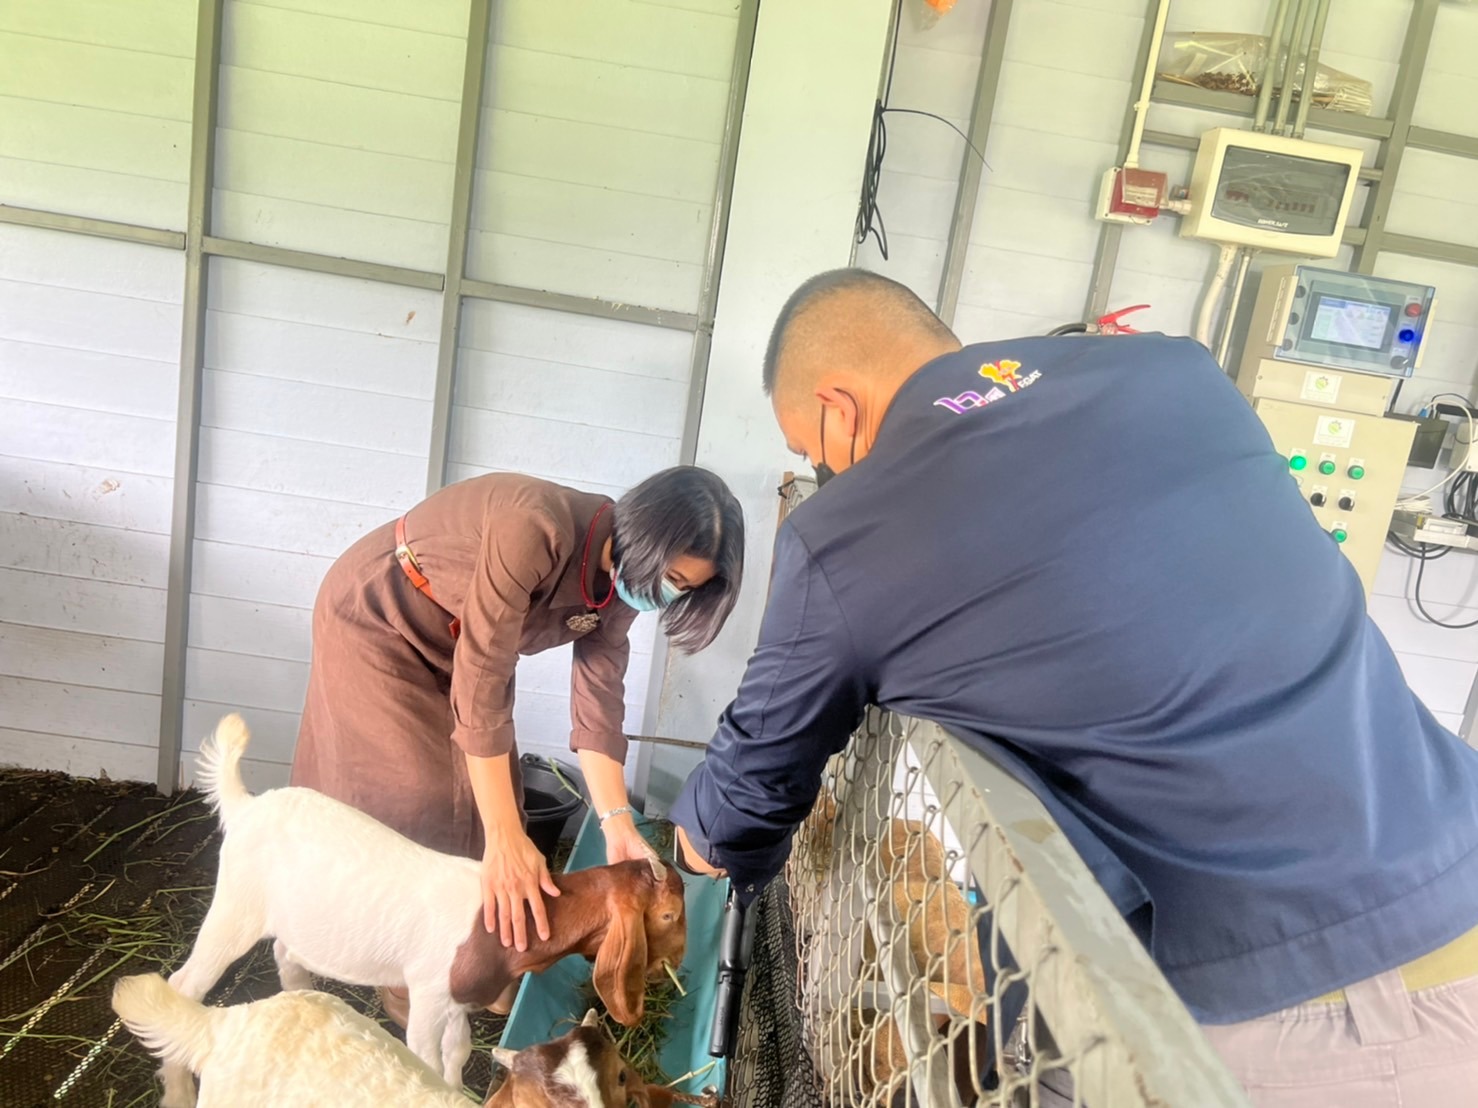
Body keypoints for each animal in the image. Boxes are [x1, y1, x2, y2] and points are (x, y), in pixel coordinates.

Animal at [158, 714, 686, 1108]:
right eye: (667, 916)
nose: (675, 968)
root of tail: (245, 806)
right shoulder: (429, 997)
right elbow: (426, 1059)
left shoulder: (456, 1000)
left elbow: (457, 1052)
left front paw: (458, 1089)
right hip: (235, 906)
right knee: (182, 985)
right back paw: (179, 1091)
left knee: (286, 955)